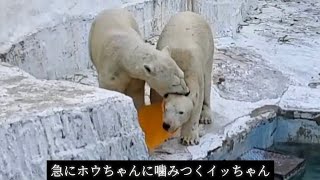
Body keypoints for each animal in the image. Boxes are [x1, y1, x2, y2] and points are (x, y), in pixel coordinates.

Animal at [151, 11, 215, 146]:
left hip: (208, 48)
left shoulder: (196, 76)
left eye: (181, 112)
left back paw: (206, 116)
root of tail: (191, 12)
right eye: (166, 108)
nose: (167, 125)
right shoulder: (159, 80)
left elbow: (196, 104)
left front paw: (188, 138)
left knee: (207, 82)